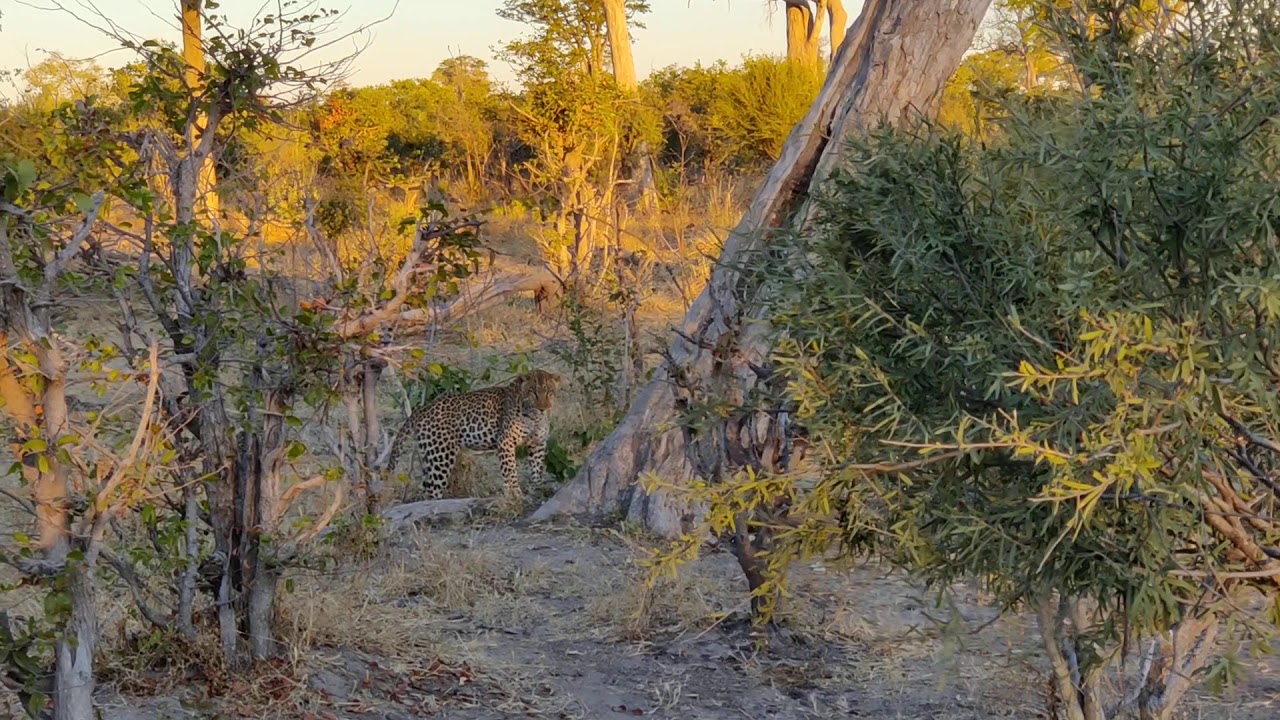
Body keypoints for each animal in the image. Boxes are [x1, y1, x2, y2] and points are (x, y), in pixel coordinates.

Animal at [380, 369, 562, 507]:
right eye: (533, 392)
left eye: (549, 392)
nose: (543, 409)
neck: (534, 418)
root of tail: (422, 409)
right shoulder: (506, 441)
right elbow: (510, 470)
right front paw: (516, 494)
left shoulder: (537, 443)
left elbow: (537, 468)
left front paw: (537, 488)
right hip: (441, 456)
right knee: (433, 489)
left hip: (430, 455)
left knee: (426, 487)